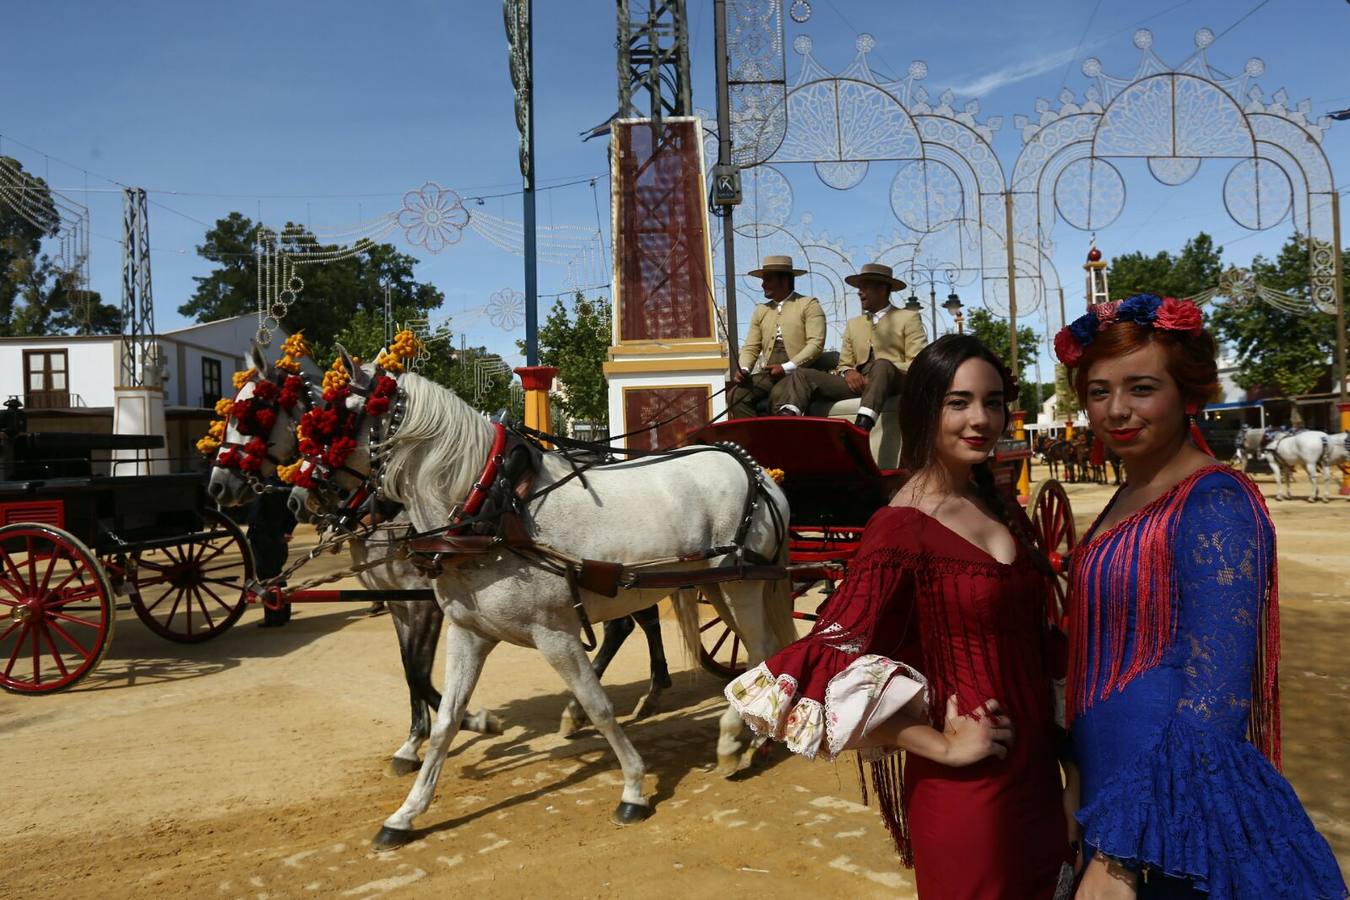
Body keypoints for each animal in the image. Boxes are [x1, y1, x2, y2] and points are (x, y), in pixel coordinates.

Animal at [309, 356, 793, 847]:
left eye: (336, 419)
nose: (312, 494)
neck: (491, 509)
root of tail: (753, 469)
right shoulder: (468, 632)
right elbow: (446, 719)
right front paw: (407, 812)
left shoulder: (554, 634)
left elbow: (598, 706)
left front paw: (633, 788)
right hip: (717, 584)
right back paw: (752, 735)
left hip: (741, 585)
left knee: (760, 652)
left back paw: (735, 740)